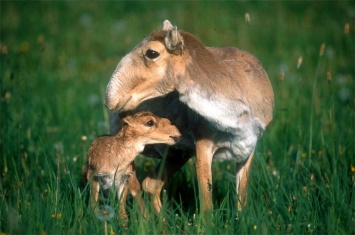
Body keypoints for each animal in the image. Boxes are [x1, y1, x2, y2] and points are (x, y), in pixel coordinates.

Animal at [105, 20, 276, 214]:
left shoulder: (248, 149)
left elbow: (241, 200)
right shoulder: (203, 147)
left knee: (150, 184)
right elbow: (207, 205)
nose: (111, 98)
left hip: (179, 153)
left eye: (152, 52)